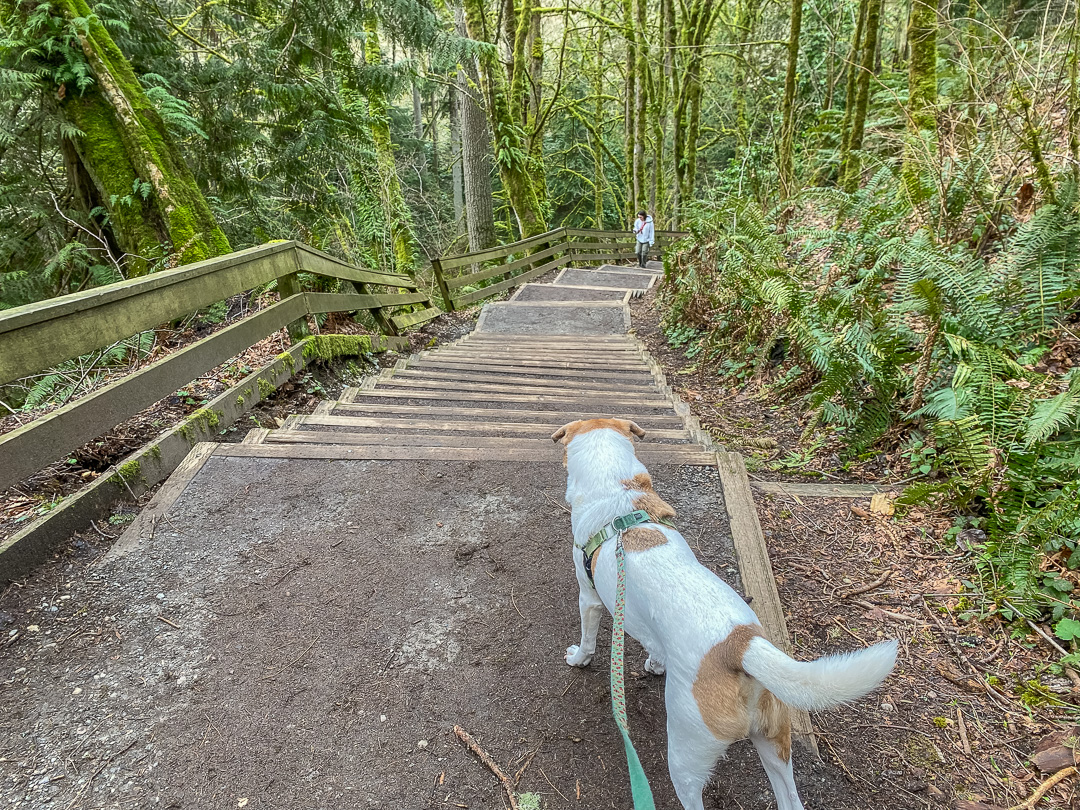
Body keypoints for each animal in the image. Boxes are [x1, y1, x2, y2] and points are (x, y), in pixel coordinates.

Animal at [551, 418, 897, 810]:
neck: (618, 496)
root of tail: (740, 645)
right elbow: (655, 646)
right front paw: (656, 664)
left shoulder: (589, 597)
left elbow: (587, 639)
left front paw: (578, 659)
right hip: (774, 742)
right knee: (790, 798)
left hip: (685, 757)